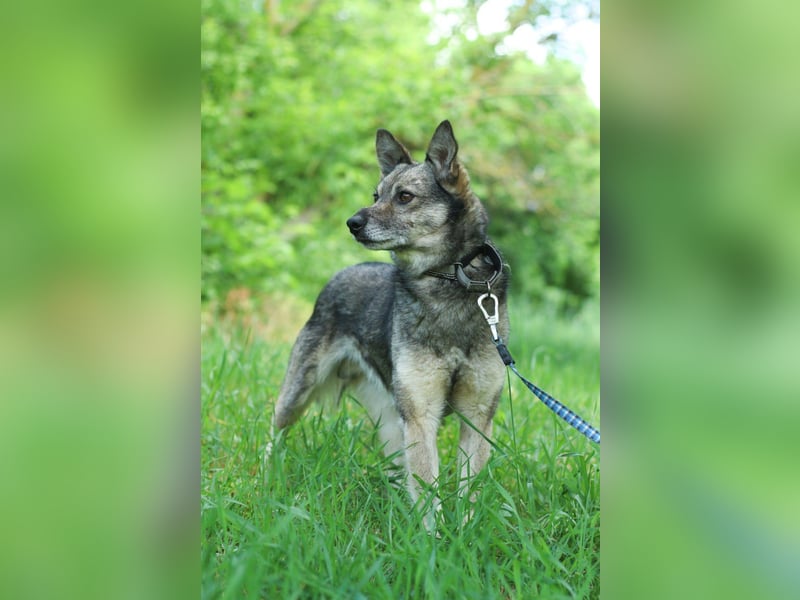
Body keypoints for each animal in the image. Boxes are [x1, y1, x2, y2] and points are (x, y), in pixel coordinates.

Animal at [272, 120, 509, 529]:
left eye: (404, 197)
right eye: (376, 194)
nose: (352, 223)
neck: (450, 279)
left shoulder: (478, 416)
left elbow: (468, 493)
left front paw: (463, 535)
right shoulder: (421, 415)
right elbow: (428, 494)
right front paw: (433, 541)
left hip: (391, 422)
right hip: (301, 390)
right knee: (274, 429)